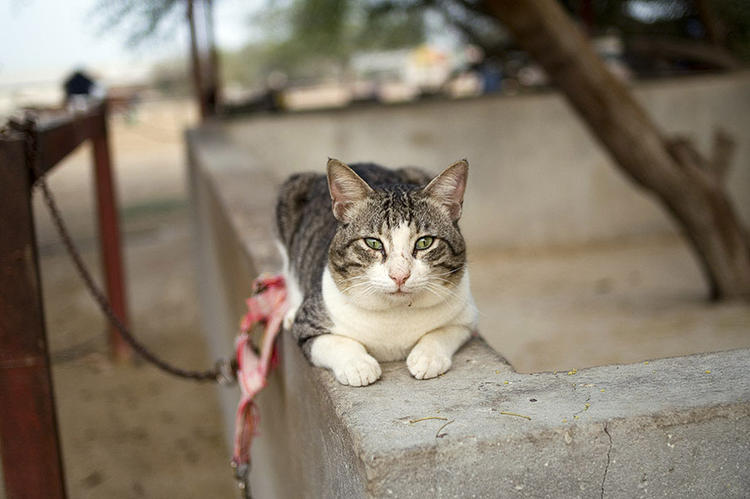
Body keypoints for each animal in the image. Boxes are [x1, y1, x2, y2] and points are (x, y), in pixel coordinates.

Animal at [274, 159, 476, 386]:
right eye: (373, 243)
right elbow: (334, 342)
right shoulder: (308, 324)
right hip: (290, 193)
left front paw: (428, 357)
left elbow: (443, 332)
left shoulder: (466, 317)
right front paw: (358, 365)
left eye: (425, 242)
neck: (395, 313)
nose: (400, 275)